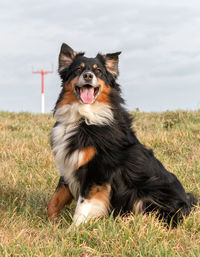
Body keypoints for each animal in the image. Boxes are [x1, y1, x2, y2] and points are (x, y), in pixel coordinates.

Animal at [47, 43, 198, 227]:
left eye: (98, 71)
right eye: (78, 69)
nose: (88, 76)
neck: (83, 118)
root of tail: (188, 204)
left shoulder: (97, 170)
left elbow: (83, 205)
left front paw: (74, 229)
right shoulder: (68, 165)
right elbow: (55, 199)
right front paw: (51, 224)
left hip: (147, 195)